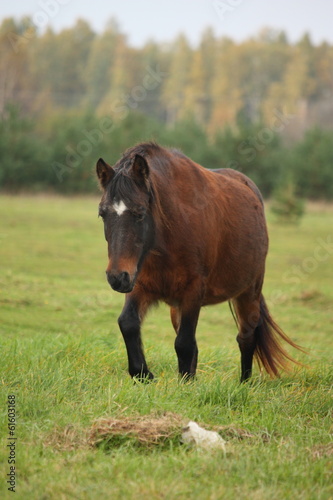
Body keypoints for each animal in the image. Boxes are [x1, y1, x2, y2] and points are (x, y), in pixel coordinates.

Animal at [95, 143, 300, 380]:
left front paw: (183, 384)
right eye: (102, 214)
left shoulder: (193, 291)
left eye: (140, 213)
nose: (117, 277)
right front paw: (144, 374)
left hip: (249, 292)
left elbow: (184, 344)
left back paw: (245, 383)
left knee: (246, 338)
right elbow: (128, 323)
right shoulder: (140, 285)